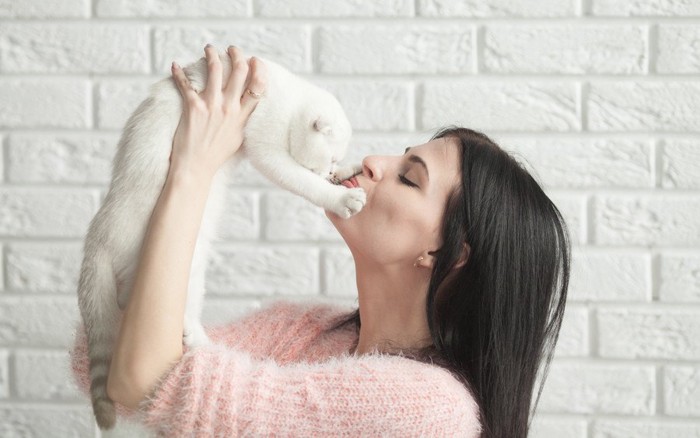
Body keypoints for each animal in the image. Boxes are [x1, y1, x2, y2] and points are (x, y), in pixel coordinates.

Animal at [78, 52, 366, 432]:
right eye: (328, 157)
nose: (331, 169)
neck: (287, 98)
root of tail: (98, 233)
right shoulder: (267, 147)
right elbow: (303, 181)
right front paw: (338, 195)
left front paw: (347, 173)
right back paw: (197, 339)